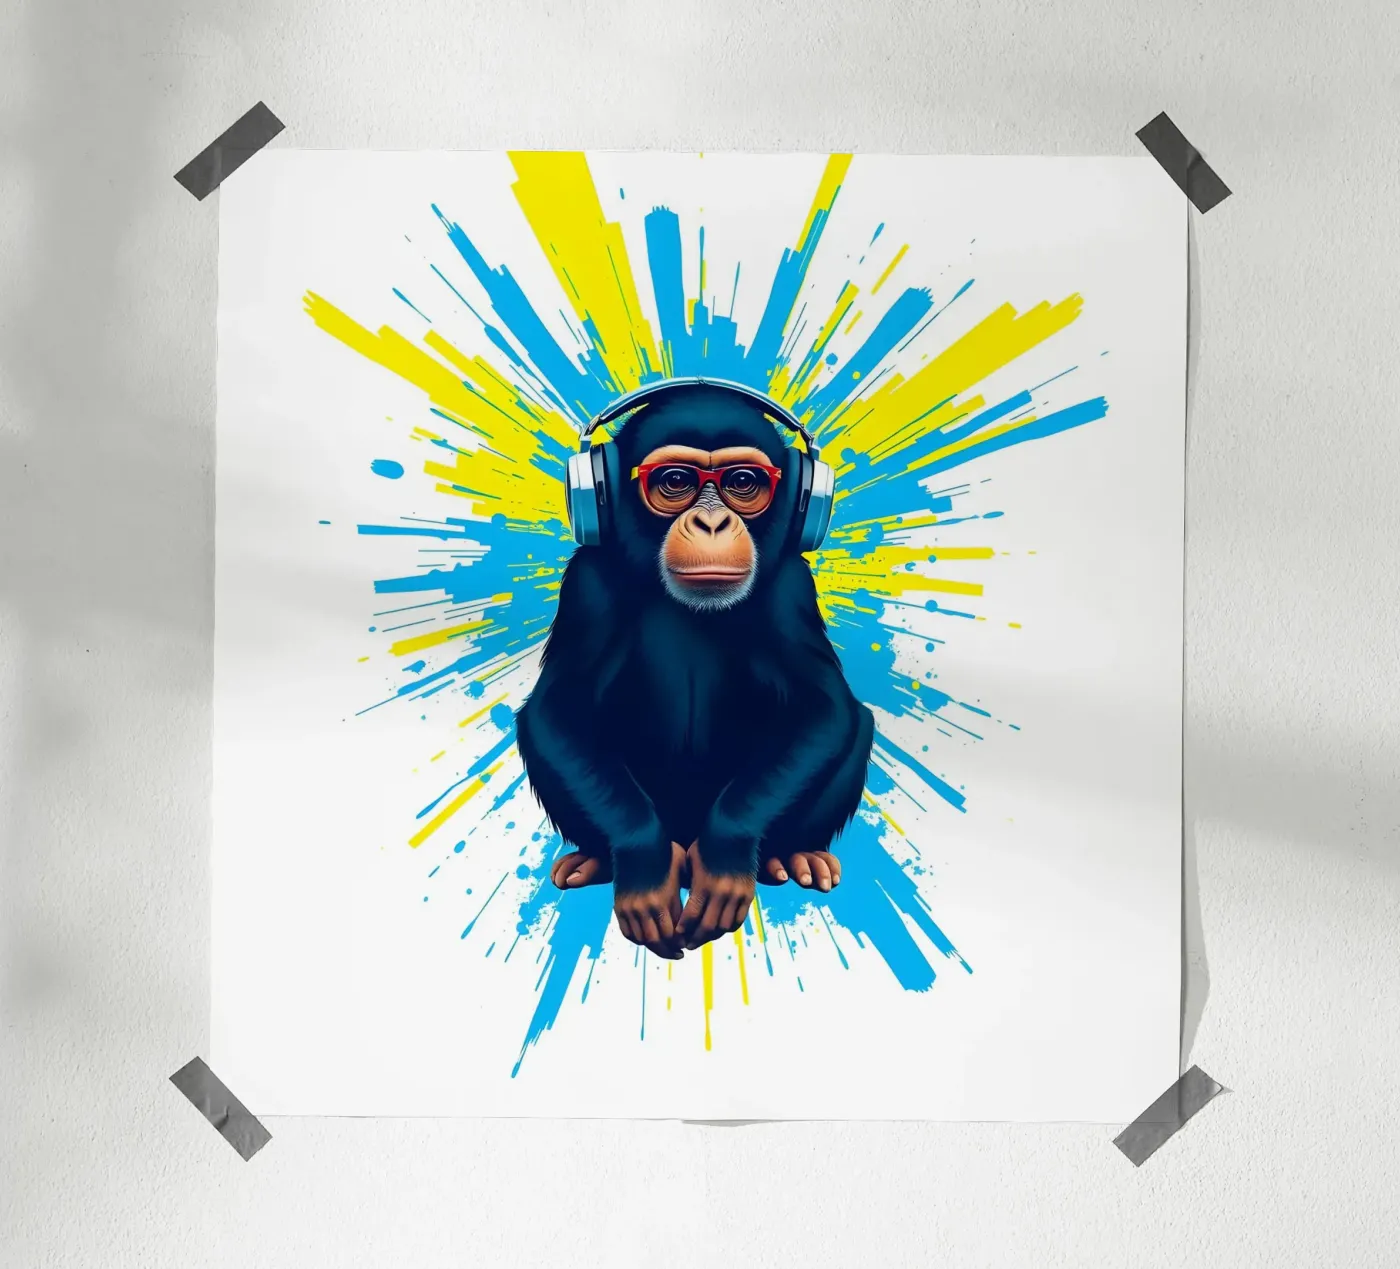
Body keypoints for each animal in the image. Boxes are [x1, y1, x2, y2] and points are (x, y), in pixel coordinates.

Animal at [514, 380, 875, 958]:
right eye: (676, 482)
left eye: (743, 483)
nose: (711, 521)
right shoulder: (587, 581)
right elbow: (558, 711)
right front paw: (643, 870)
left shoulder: (792, 585)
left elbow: (824, 709)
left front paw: (726, 860)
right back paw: (601, 861)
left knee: (858, 723)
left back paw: (792, 856)